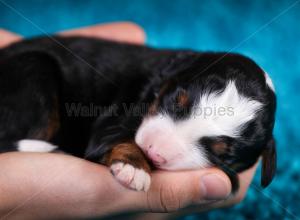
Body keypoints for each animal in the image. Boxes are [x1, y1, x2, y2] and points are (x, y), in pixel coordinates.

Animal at [0, 36, 276, 192]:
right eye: (176, 101)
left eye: (220, 154)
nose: (155, 152)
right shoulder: (115, 115)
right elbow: (117, 136)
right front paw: (134, 167)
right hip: (34, 70)